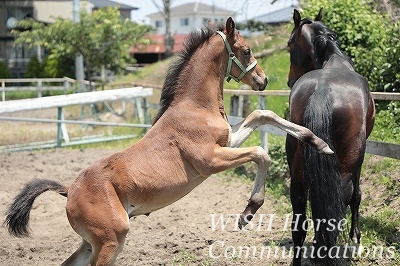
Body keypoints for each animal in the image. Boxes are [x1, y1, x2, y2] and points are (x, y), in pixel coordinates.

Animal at [5, 17, 332, 264]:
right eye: (247, 50)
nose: (263, 81)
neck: (194, 107)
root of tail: (68, 189)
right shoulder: (211, 160)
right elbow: (261, 154)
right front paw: (248, 212)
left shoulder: (227, 142)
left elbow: (263, 115)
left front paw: (318, 142)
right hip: (110, 240)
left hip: (90, 244)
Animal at [288, 8, 376, 266]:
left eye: (288, 44)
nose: (288, 80)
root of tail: (322, 89)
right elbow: (356, 196)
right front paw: (356, 241)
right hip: (345, 168)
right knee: (339, 206)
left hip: (297, 170)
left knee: (300, 220)